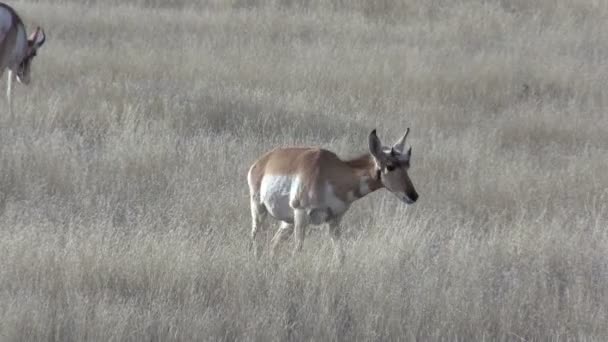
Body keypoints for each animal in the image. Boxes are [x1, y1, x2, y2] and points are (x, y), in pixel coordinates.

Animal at [247, 128, 418, 264]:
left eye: (407, 165)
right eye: (390, 166)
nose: (414, 196)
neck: (330, 172)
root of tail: (263, 161)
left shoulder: (334, 220)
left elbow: (340, 255)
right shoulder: (302, 214)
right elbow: (298, 251)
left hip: (287, 222)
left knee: (273, 244)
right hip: (260, 211)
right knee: (255, 239)